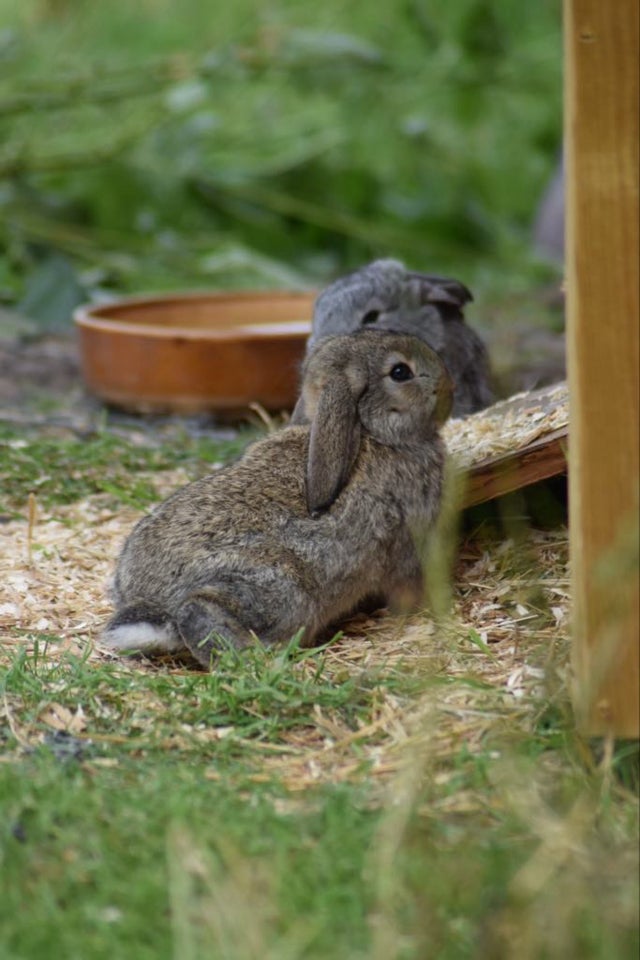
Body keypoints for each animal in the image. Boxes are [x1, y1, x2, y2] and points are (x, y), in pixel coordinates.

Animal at [102, 330, 452, 668]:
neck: (371, 432)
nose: (446, 382)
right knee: (198, 610)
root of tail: (154, 605)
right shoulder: (407, 546)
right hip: (281, 590)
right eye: (400, 372)